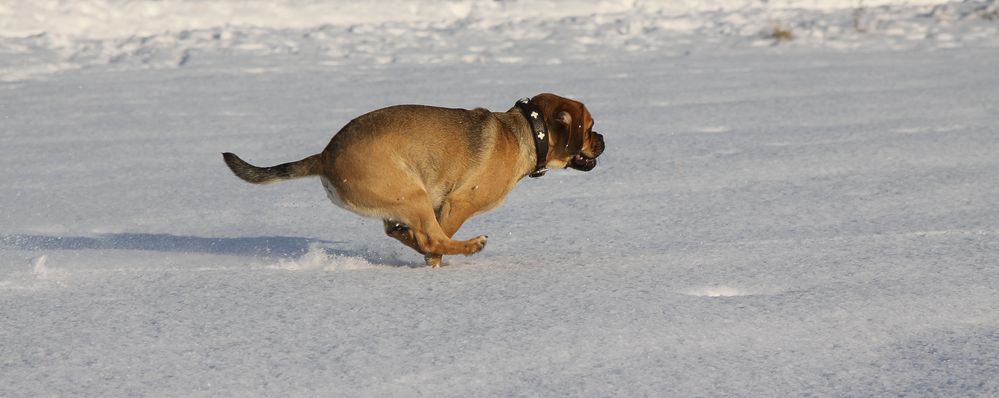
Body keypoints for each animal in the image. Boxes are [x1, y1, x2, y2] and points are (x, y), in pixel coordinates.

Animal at [223, 93, 604, 268]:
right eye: (589, 128)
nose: (603, 141)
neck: (526, 131)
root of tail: (325, 155)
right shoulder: (457, 203)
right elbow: (437, 237)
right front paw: (435, 262)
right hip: (412, 194)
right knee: (431, 238)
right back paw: (470, 246)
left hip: (401, 200)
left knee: (400, 231)